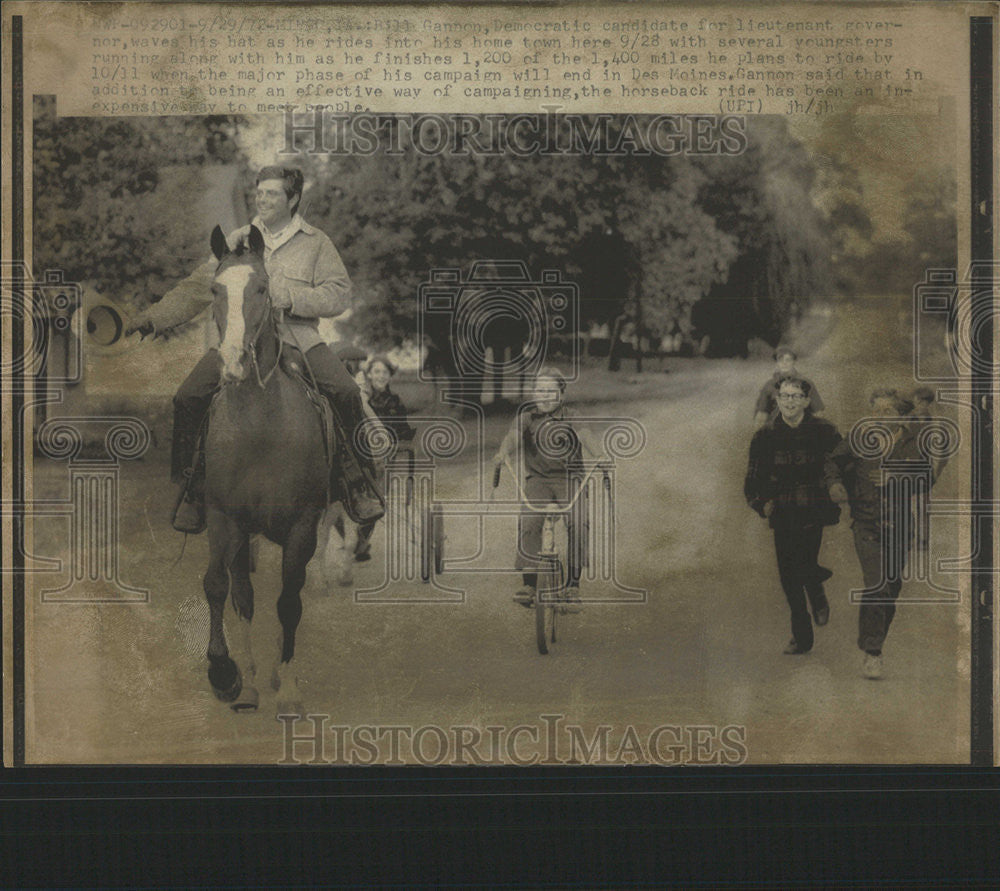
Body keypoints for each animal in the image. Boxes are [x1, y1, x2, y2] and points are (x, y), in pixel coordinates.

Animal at [201, 225, 330, 716]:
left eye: (261, 288)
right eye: (215, 290)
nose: (234, 361)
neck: (259, 428)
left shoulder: (302, 528)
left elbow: (289, 603)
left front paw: (288, 688)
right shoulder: (224, 519)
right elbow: (219, 587)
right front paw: (226, 675)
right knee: (244, 596)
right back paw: (253, 683)